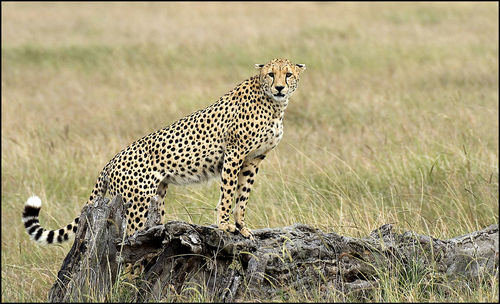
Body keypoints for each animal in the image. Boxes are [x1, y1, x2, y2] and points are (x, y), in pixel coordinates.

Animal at [22, 58, 304, 246]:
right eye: (271, 74)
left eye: (288, 74)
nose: (280, 87)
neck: (274, 104)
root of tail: (111, 160)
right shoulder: (234, 154)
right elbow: (228, 193)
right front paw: (225, 225)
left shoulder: (254, 159)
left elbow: (242, 197)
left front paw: (243, 228)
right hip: (135, 202)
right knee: (126, 240)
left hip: (156, 197)